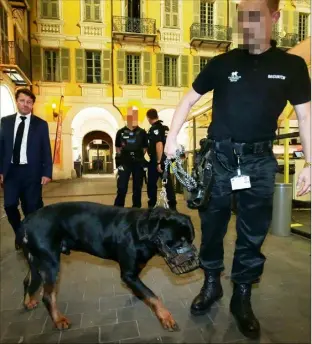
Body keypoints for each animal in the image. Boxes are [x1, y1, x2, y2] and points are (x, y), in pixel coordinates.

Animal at [19, 202, 196, 330]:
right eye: (178, 243)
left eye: (191, 239)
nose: (192, 256)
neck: (142, 232)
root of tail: (27, 221)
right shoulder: (128, 272)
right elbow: (153, 295)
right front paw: (166, 317)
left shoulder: (134, 270)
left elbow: (143, 290)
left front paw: (138, 293)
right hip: (50, 264)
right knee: (48, 296)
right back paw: (59, 320)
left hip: (36, 261)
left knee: (28, 280)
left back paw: (28, 302)